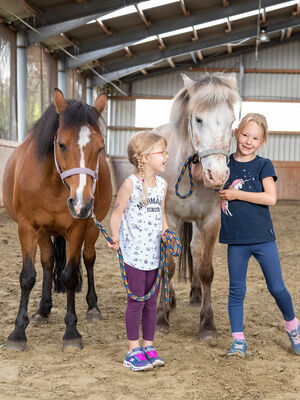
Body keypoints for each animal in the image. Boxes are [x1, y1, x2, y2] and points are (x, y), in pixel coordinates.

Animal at [2, 88, 112, 350]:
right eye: (61, 144)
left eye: (100, 148)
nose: (82, 203)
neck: (52, 183)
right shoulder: (27, 226)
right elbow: (28, 276)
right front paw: (18, 332)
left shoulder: (78, 228)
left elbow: (70, 276)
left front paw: (71, 332)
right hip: (43, 232)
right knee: (48, 262)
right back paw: (43, 310)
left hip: (92, 229)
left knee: (89, 259)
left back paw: (93, 307)